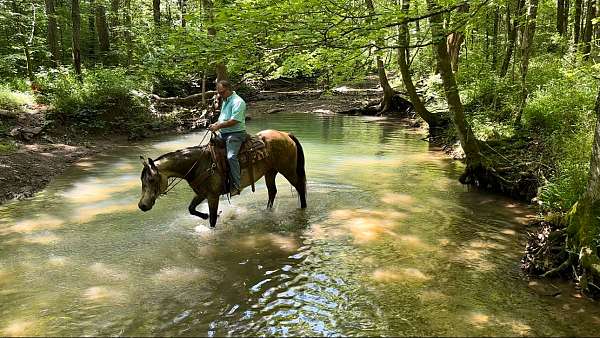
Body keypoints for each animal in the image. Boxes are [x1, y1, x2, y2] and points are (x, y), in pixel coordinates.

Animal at [138, 129, 308, 227]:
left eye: (151, 180)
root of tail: (286, 135)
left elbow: (213, 219)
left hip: (287, 170)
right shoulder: (201, 194)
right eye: (142, 181)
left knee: (299, 187)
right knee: (272, 191)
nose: (142, 205)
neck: (198, 164)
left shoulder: (213, 196)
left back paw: (303, 209)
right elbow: (191, 209)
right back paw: (267, 212)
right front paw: (204, 215)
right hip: (270, 172)